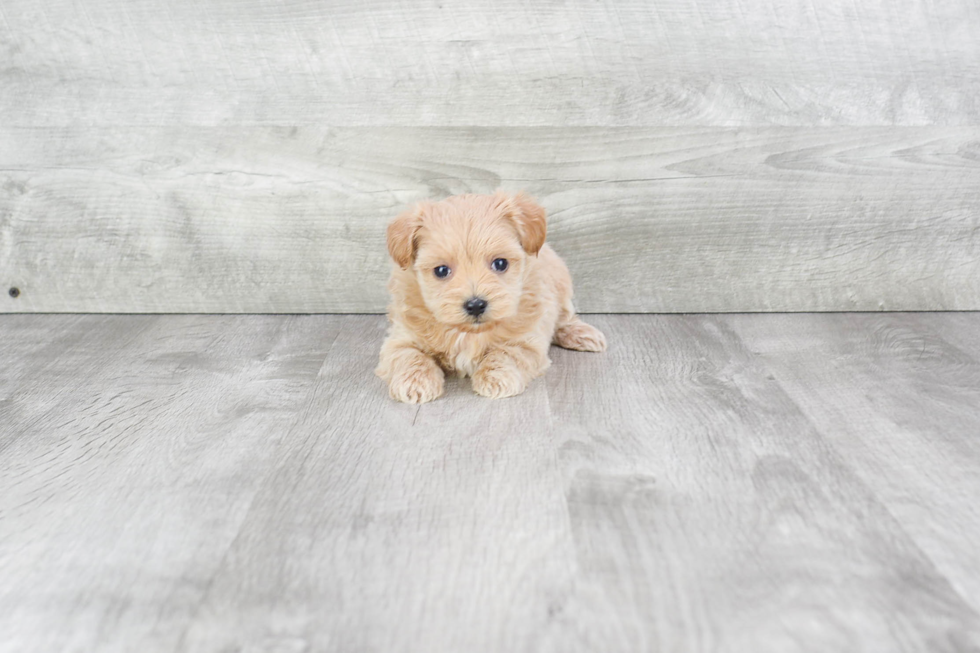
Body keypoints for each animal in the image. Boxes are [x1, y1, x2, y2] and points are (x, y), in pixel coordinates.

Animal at [376, 190, 604, 402]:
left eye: (500, 263)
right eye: (441, 271)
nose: (476, 305)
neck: (468, 333)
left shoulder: (527, 341)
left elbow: (506, 353)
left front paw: (496, 378)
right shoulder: (401, 338)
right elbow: (409, 355)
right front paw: (414, 381)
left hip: (560, 280)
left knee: (564, 316)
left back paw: (582, 334)